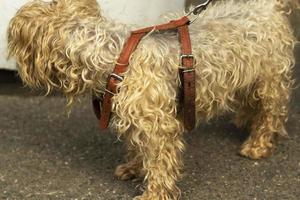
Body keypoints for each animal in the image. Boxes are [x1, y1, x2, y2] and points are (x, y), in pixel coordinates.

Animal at [7, 0, 300, 198]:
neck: (115, 55)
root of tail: (267, 6)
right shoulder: (138, 118)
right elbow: (138, 148)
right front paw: (134, 168)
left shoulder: (158, 126)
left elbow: (159, 162)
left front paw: (154, 193)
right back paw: (244, 120)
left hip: (270, 79)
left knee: (271, 114)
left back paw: (257, 144)